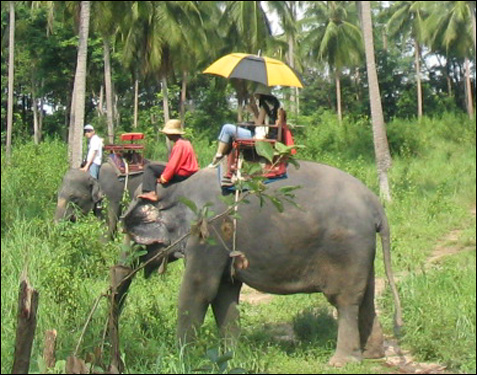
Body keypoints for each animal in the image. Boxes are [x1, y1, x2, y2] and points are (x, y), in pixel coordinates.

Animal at [122, 162, 402, 368]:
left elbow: (200, 289)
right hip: (363, 249)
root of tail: (375, 204)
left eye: (131, 234)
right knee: (366, 295)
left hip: (346, 247)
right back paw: (372, 355)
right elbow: (224, 293)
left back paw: (341, 362)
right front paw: (230, 355)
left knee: (344, 300)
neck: (178, 187)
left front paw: (182, 357)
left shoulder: (208, 231)